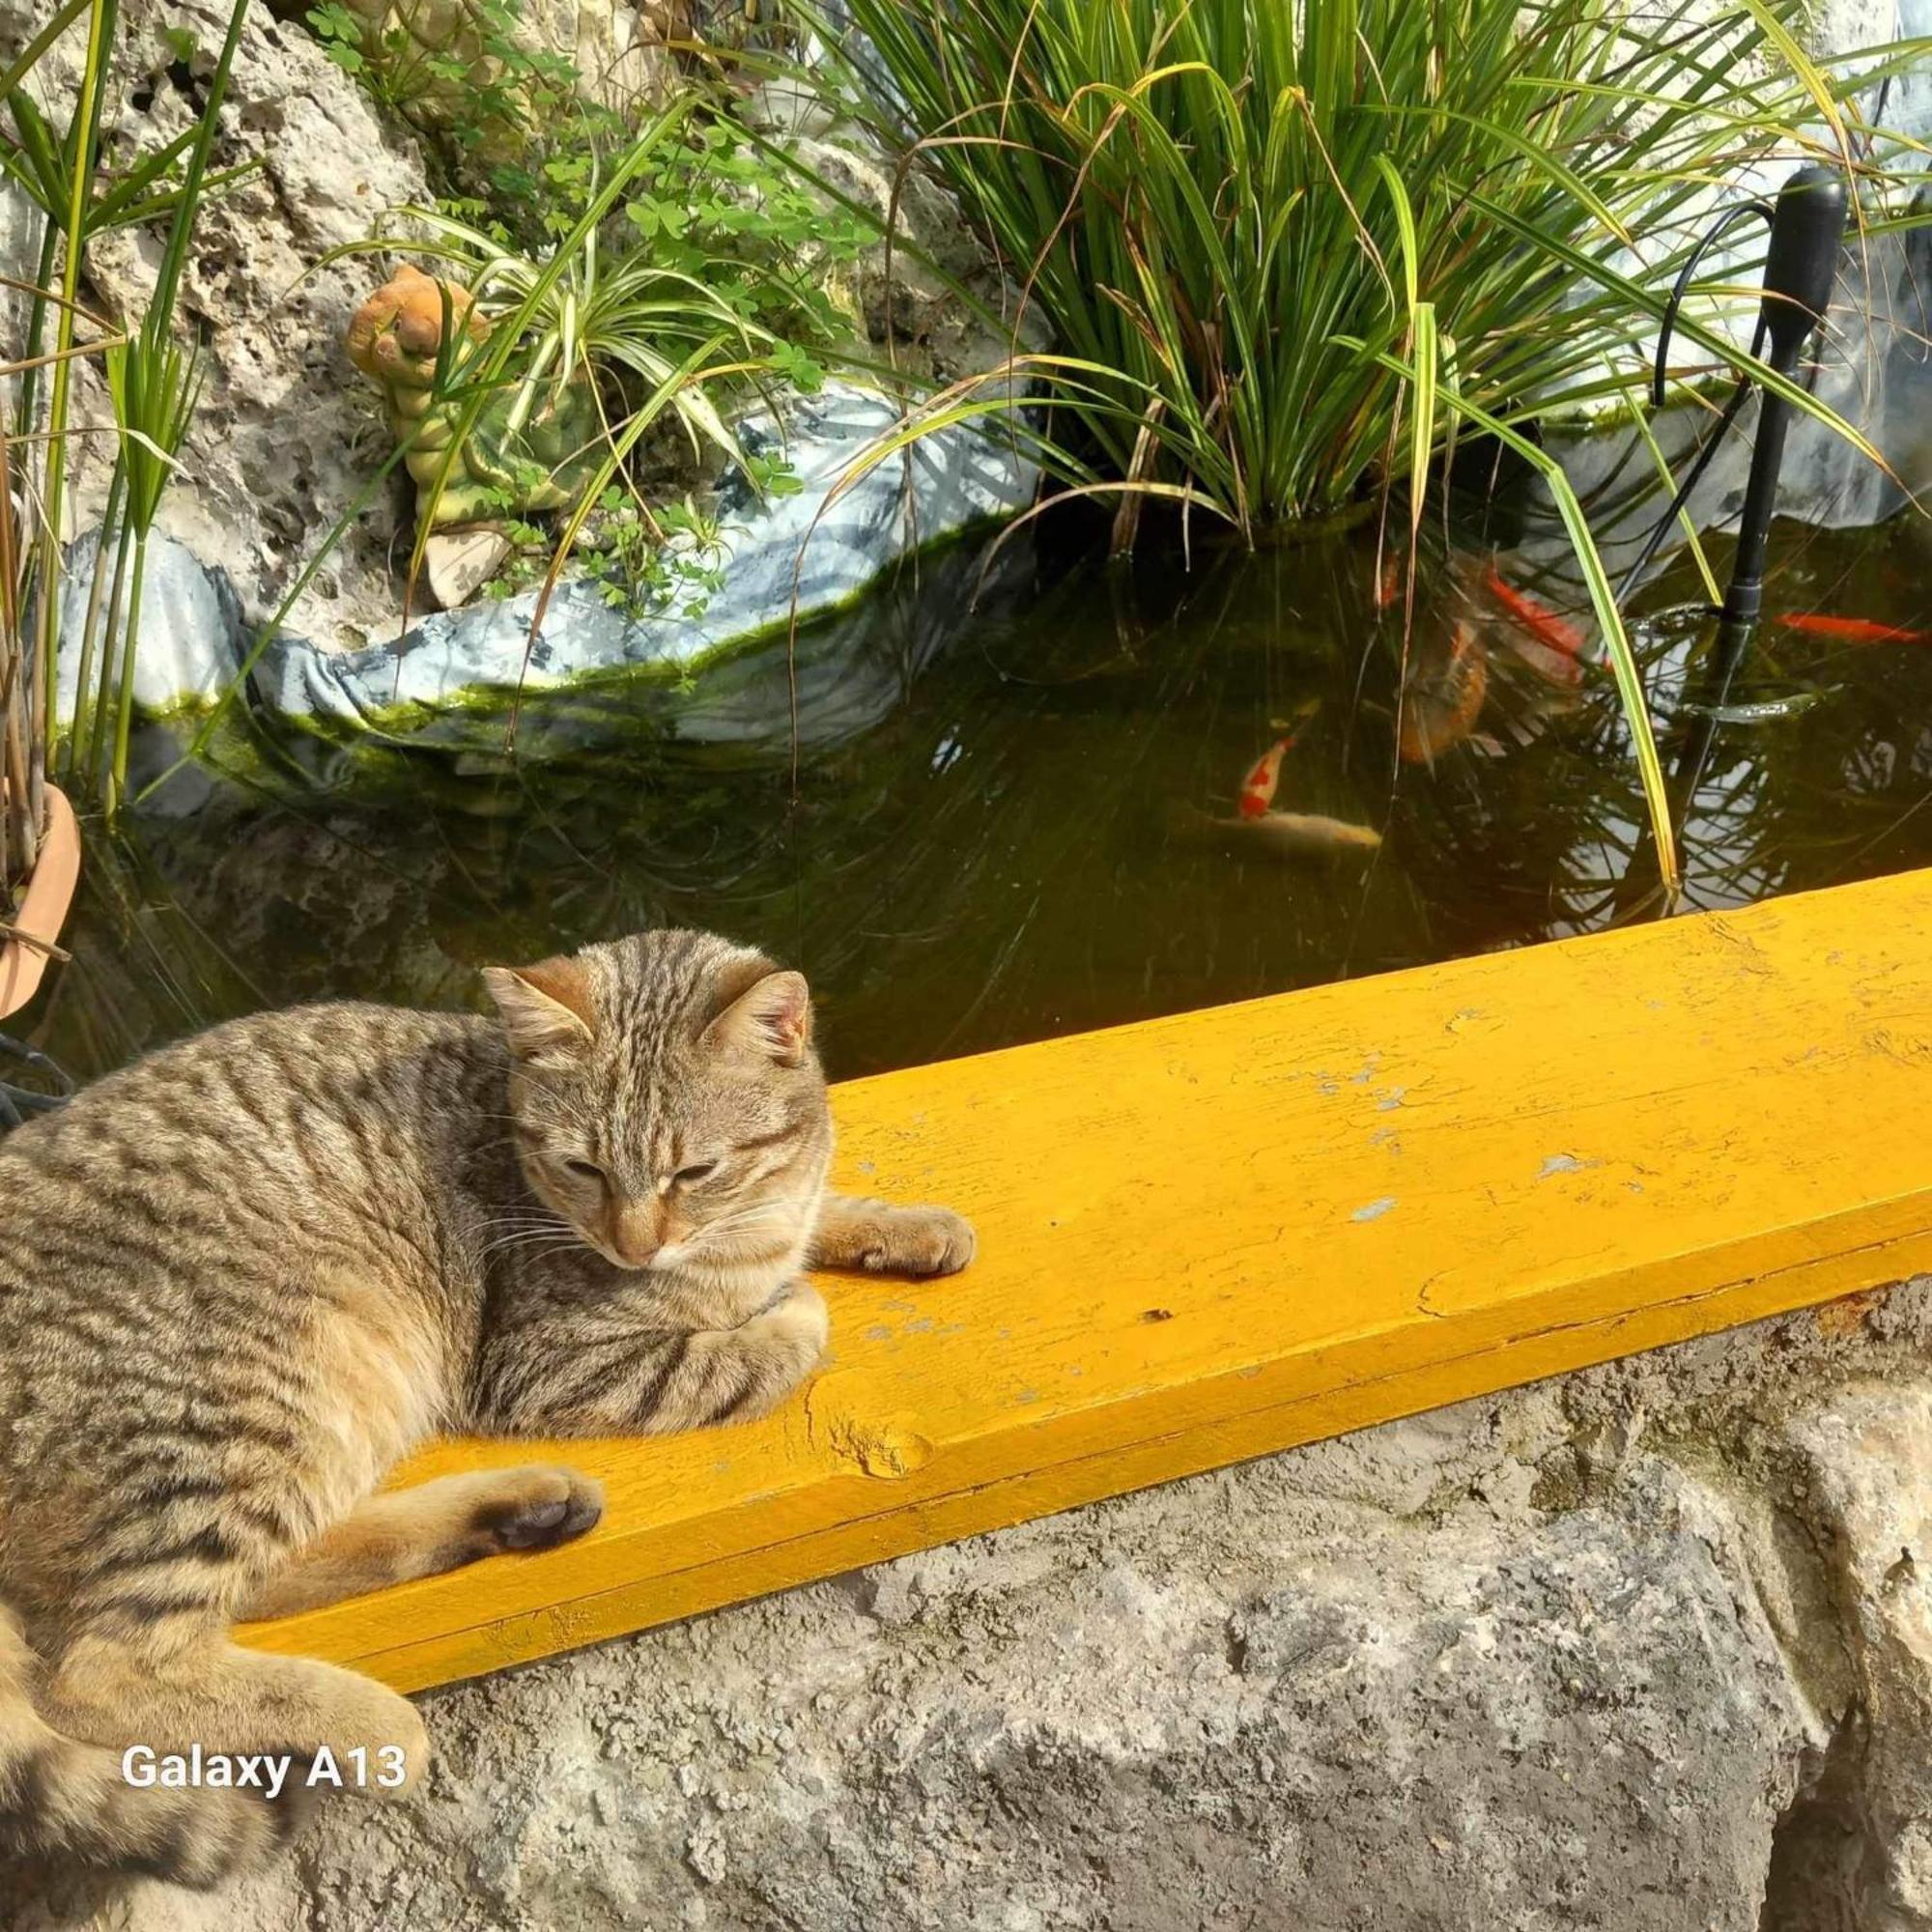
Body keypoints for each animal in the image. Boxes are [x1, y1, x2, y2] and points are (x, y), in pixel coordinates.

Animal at [0, 931, 966, 1886]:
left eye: (696, 1170)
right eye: (584, 1167)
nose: (634, 1244)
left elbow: (814, 1216)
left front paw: (903, 1225)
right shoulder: (549, 1360)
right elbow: (749, 1346)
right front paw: (789, 1303)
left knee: (271, 1571)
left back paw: (520, 1511)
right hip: (259, 1392)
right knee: (99, 1668)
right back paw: (377, 1721)